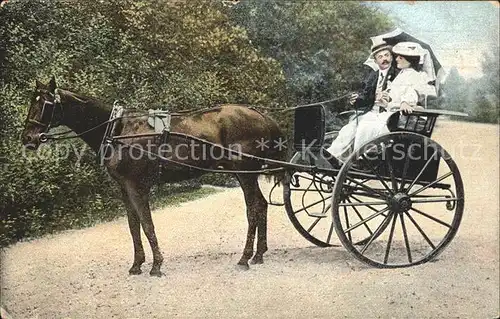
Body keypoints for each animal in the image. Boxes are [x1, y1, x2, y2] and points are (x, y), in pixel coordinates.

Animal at [21, 76, 286, 276]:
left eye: (45, 104)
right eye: (32, 101)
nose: (28, 138)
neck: (118, 131)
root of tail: (261, 115)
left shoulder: (137, 186)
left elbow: (147, 224)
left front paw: (156, 265)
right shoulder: (124, 188)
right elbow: (133, 225)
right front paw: (137, 264)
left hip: (245, 173)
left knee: (253, 209)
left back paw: (244, 258)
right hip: (245, 173)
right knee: (261, 205)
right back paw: (259, 254)